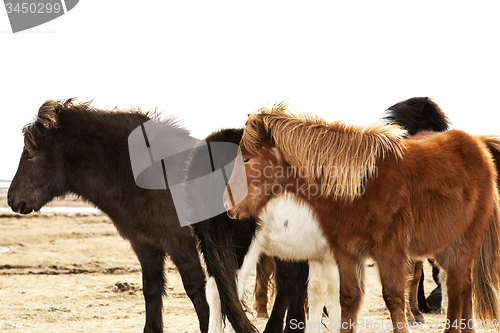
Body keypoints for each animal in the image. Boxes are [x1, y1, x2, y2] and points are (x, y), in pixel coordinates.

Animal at [225, 102, 500, 330]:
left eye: (247, 159)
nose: (227, 204)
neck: (359, 187)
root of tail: (478, 147)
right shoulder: (346, 252)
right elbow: (348, 299)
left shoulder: (390, 252)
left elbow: (393, 298)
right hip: (445, 248)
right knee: (463, 288)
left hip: (464, 243)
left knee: (457, 288)